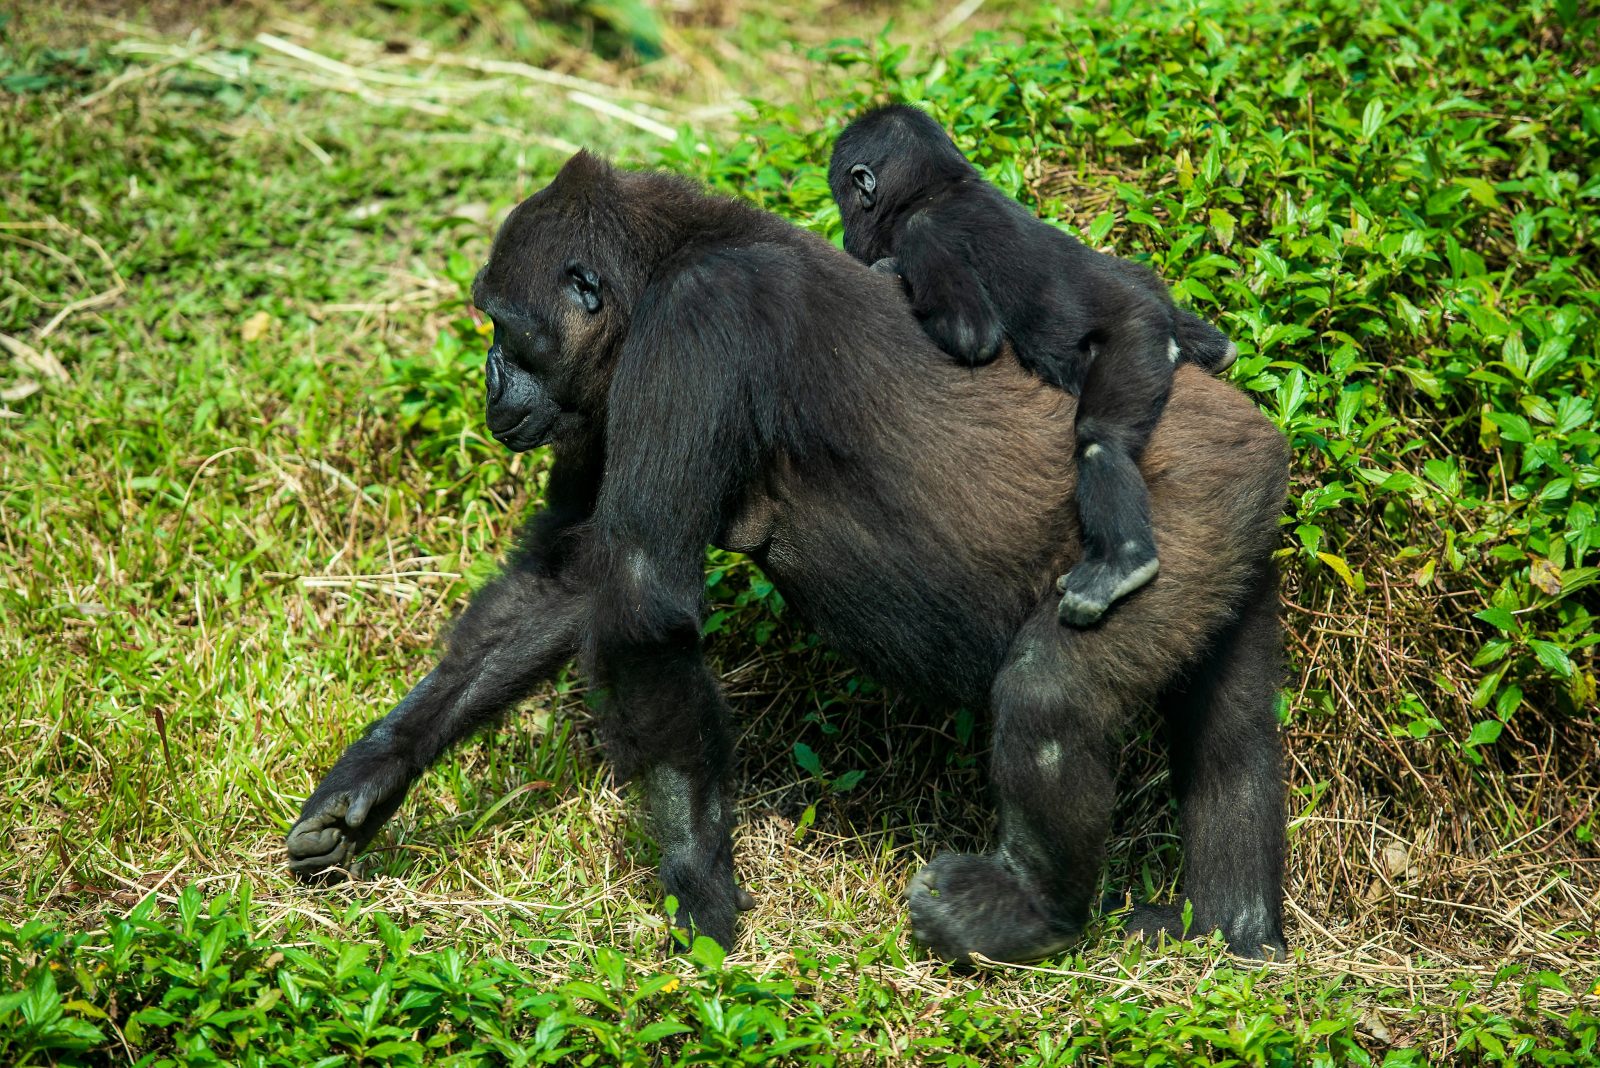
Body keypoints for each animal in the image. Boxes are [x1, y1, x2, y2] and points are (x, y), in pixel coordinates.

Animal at [838, 106, 1235, 626]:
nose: (843, 234)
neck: (934, 189)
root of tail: (1162, 330)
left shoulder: (922, 235)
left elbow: (970, 330)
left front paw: (885, 270)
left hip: (1136, 345)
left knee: (1101, 441)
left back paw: (1122, 563)